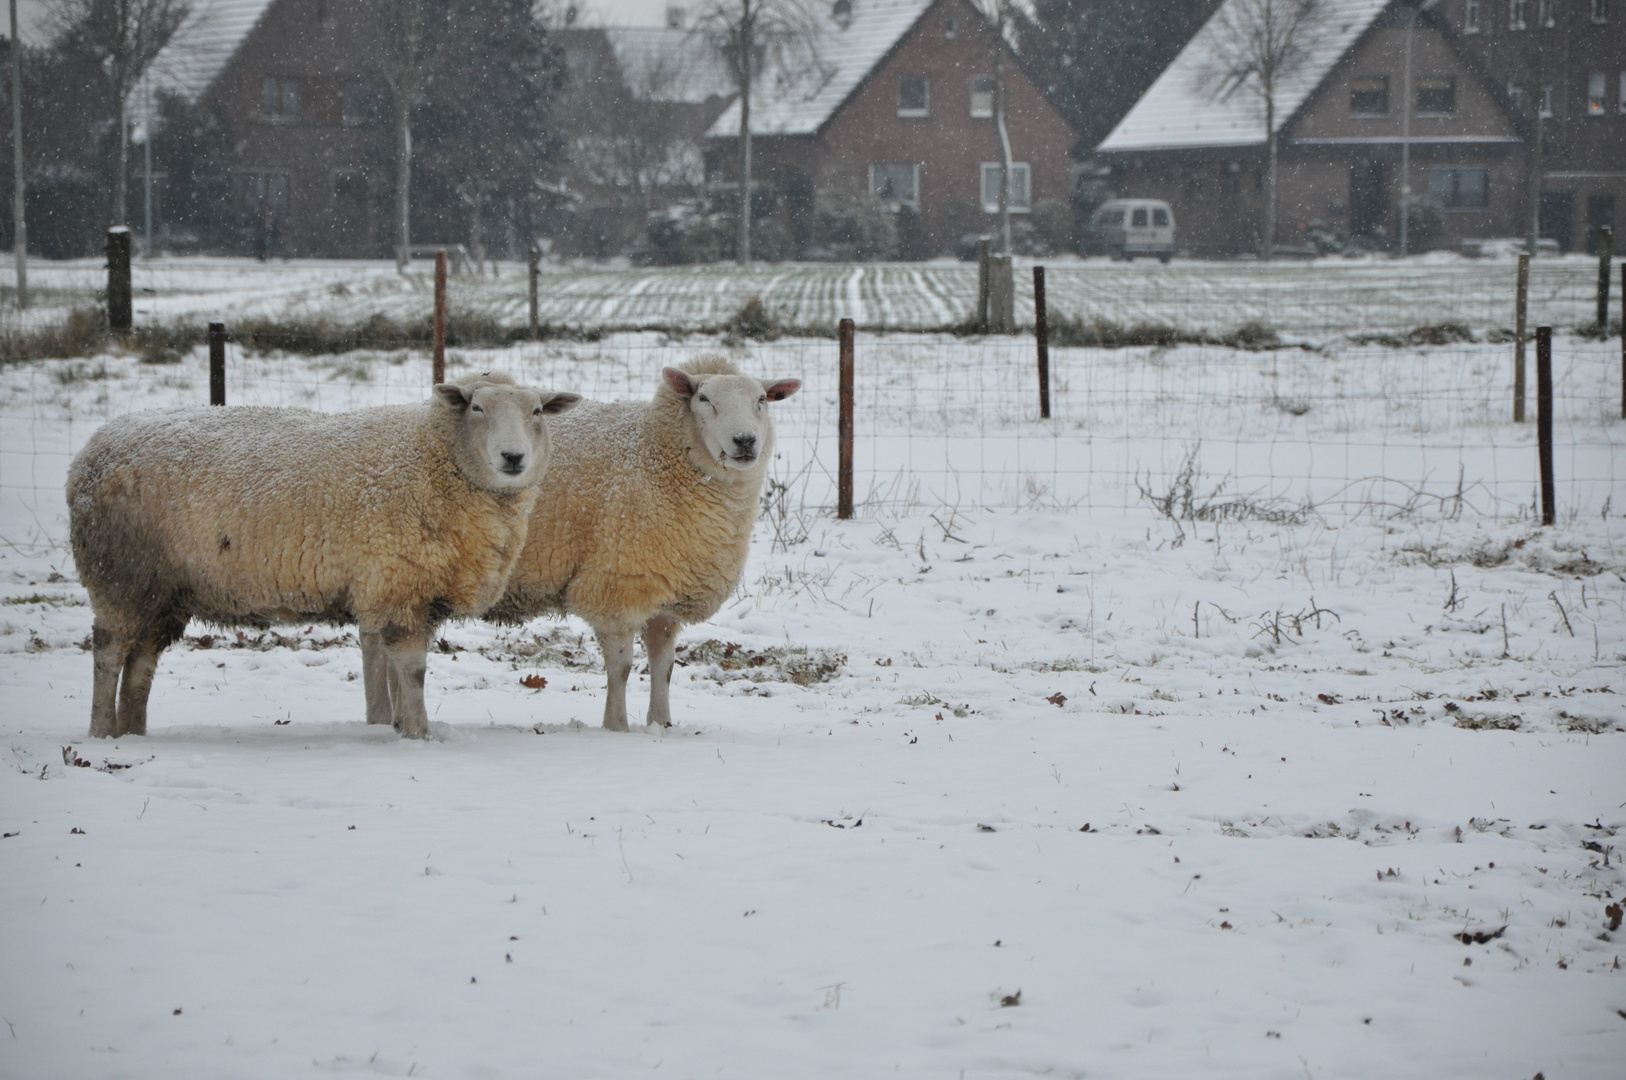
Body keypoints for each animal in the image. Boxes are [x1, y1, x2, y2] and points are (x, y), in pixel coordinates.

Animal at [68, 375, 578, 738]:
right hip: (120, 574)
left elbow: (399, 673)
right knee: (109, 652)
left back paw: (132, 732)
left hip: (162, 589)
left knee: (142, 660)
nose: (513, 457)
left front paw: (402, 727)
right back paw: (101, 732)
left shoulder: (409, 591)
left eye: (536, 411)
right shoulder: (398, 583)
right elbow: (412, 671)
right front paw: (420, 734)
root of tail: (92, 448)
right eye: (476, 407)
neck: (436, 457)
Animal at [487, 357, 806, 728]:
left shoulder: (667, 592)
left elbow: (664, 667)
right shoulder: (617, 585)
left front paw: (661, 725)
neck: (658, 455)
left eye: (761, 400)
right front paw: (616, 727)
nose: (745, 441)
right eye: (704, 399)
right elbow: (621, 669)